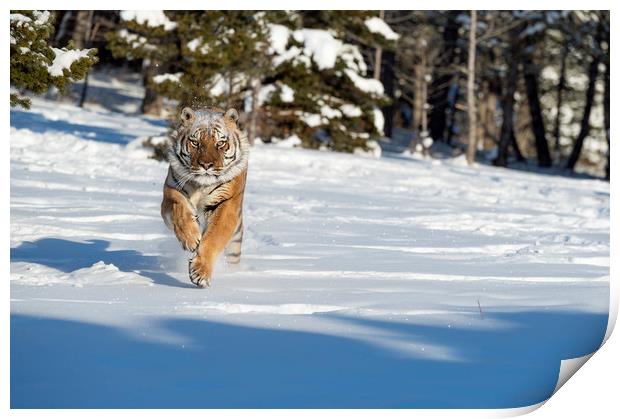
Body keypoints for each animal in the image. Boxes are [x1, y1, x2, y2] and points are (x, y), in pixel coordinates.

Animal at [160, 106, 249, 288]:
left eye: (220, 143)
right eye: (195, 142)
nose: (206, 165)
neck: (201, 186)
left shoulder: (226, 204)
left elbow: (214, 237)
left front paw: (200, 273)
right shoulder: (170, 192)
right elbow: (178, 207)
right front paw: (191, 238)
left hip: (235, 246)